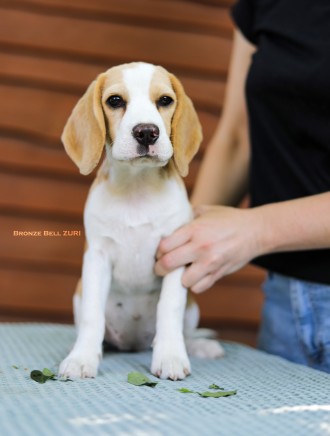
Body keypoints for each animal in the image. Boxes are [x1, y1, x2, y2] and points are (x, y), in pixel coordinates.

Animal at [59, 62, 224, 382]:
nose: (147, 132)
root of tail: (133, 344)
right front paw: (81, 358)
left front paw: (170, 356)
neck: (137, 187)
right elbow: (92, 316)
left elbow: (169, 309)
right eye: (115, 101)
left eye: (165, 100)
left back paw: (199, 346)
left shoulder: (174, 256)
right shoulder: (97, 258)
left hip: (192, 309)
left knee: (185, 330)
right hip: (77, 294)